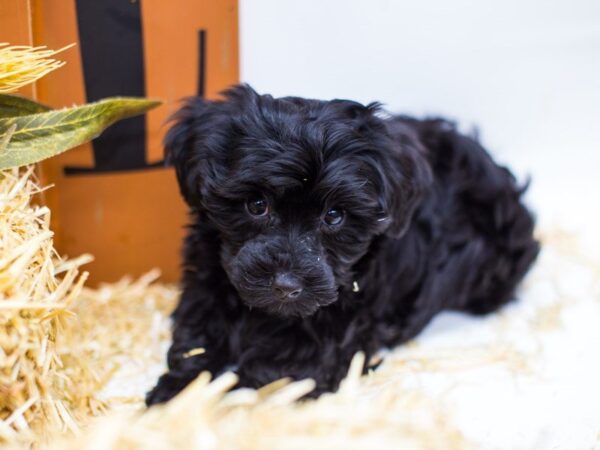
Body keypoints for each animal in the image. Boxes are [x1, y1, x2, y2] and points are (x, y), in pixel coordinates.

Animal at [146, 84, 540, 404]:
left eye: (334, 216)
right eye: (257, 205)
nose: (286, 285)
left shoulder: (335, 338)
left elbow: (271, 374)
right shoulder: (205, 285)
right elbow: (197, 338)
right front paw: (172, 393)